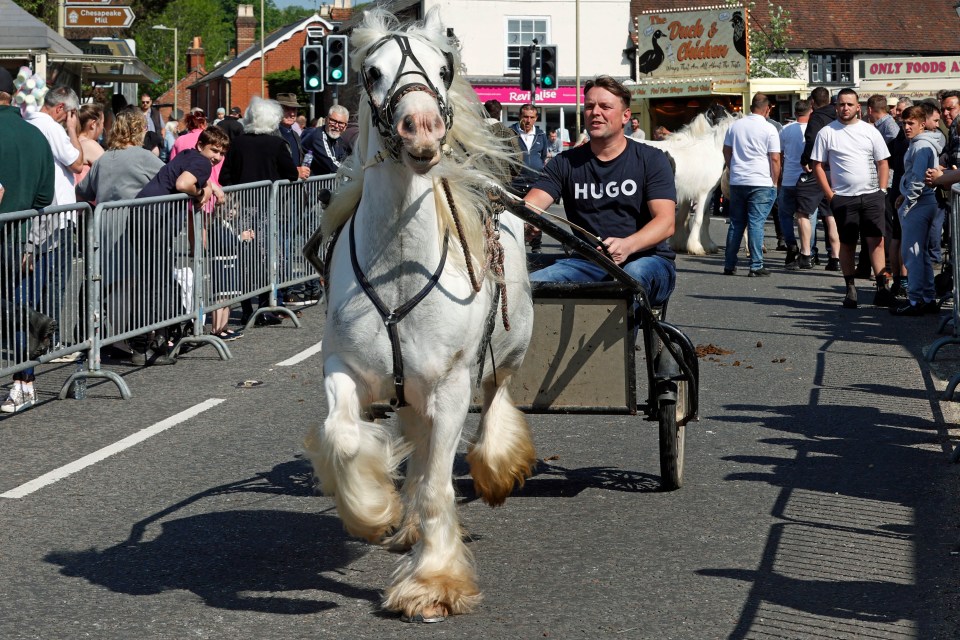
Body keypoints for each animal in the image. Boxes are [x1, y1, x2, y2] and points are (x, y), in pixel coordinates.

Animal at [304, 7, 536, 624]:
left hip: (507, 349)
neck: (400, 269)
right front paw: (374, 509)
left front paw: (432, 584)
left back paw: (496, 467)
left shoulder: (452, 383)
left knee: (496, 396)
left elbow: (437, 484)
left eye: (443, 68)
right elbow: (343, 436)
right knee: (416, 434)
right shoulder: (344, 365)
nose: (423, 130)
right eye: (372, 71)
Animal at [640, 106, 740, 254]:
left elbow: (698, 218)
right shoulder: (703, 193)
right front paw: (696, 247)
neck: (710, 150)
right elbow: (698, 219)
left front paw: (706, 244)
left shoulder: (697, 194)